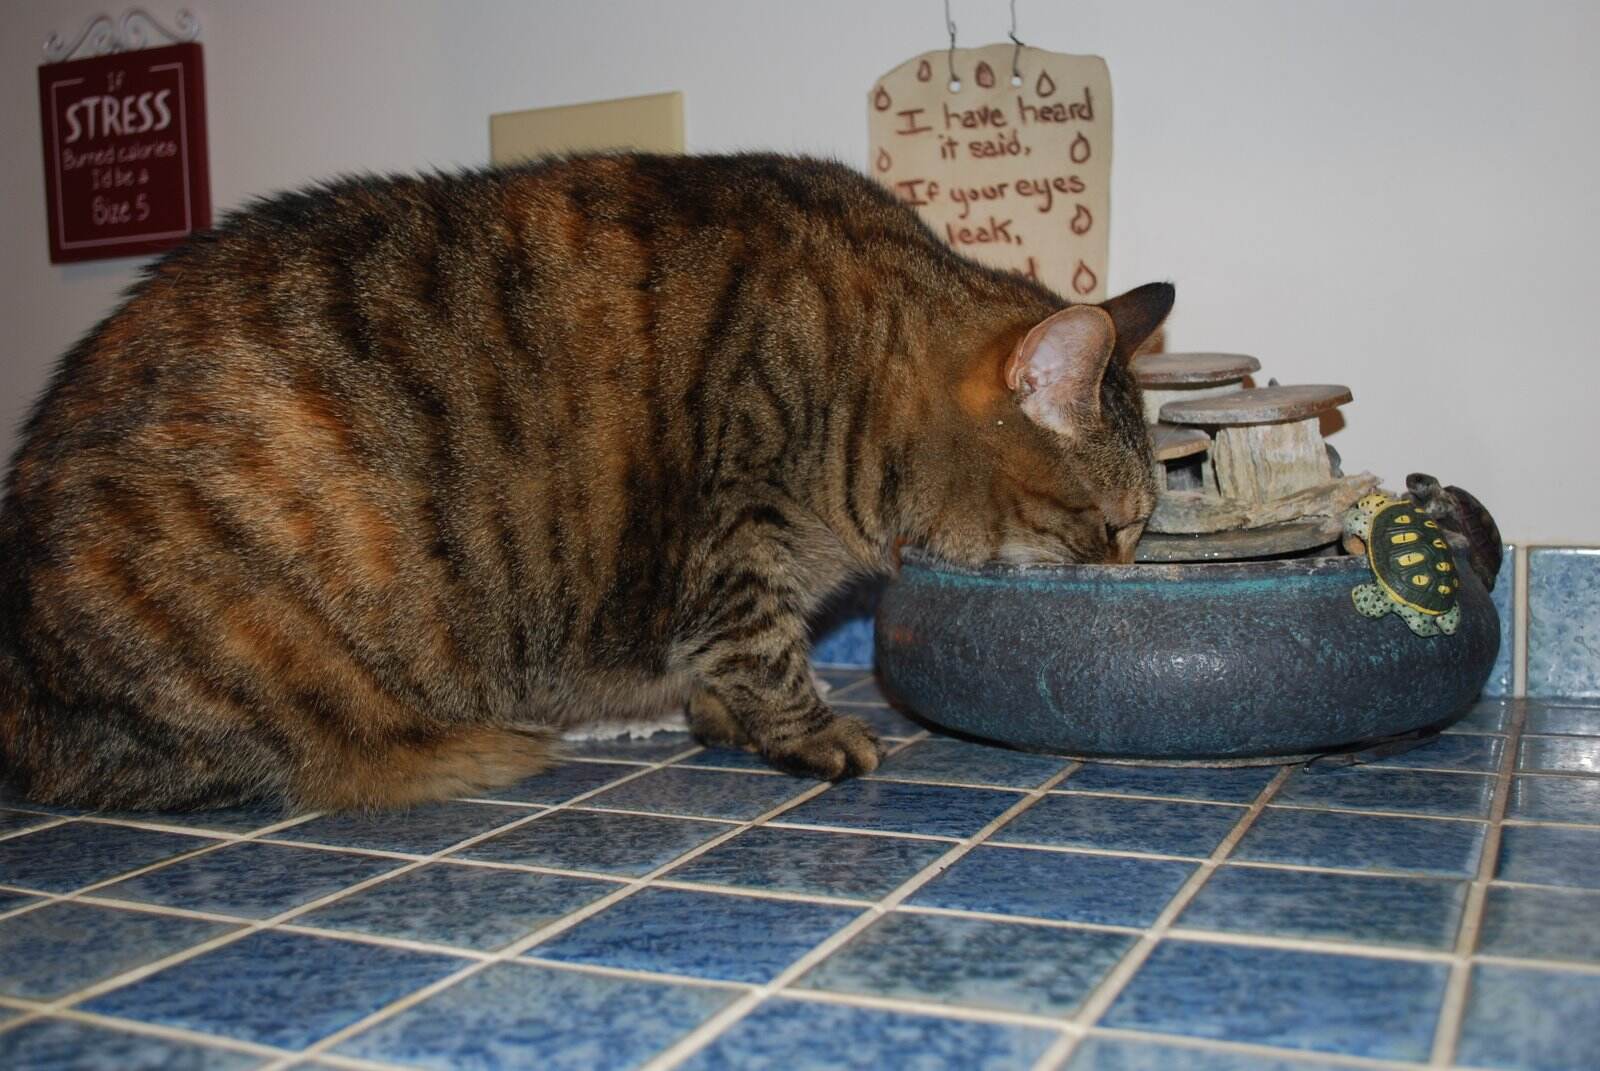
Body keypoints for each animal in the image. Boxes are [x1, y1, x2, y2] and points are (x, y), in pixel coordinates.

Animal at [0, 154, 1177, 810]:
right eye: (1118, 524)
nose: (1132, 570)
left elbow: (729, 665)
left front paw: (720, 716)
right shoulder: (735, 521)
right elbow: (764, 645)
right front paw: (806, 731)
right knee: (283, 761)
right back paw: (476, 750)